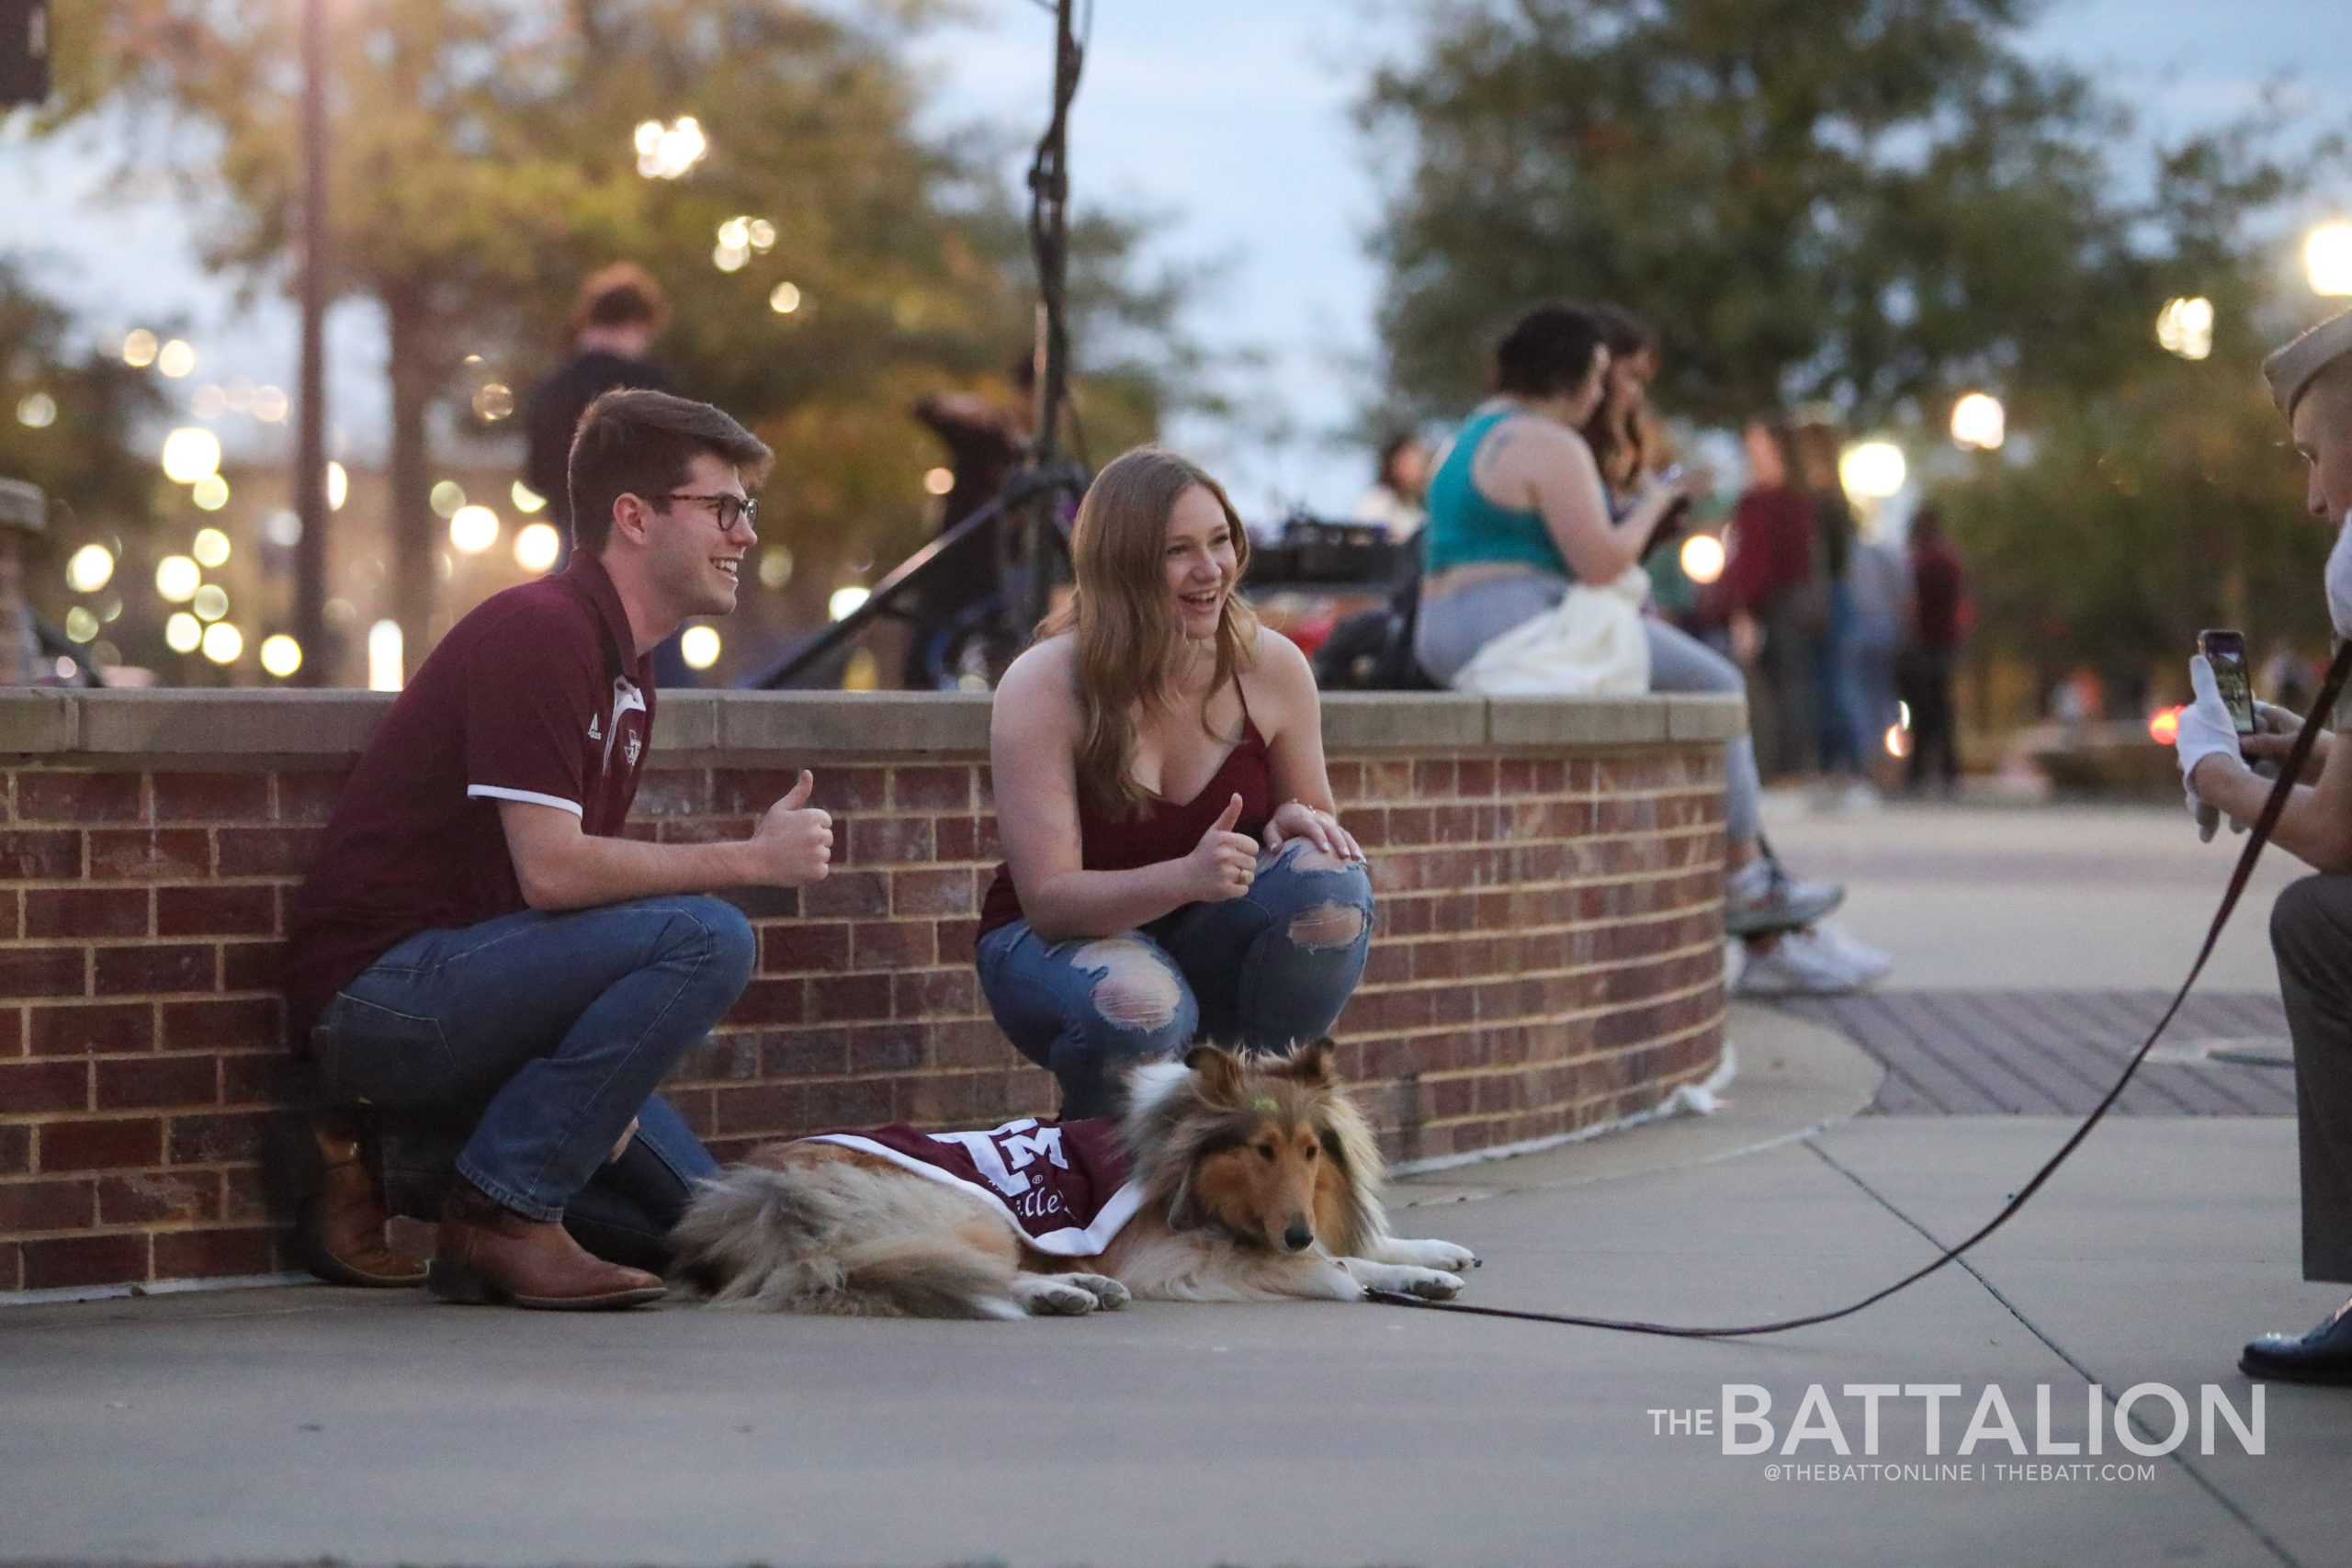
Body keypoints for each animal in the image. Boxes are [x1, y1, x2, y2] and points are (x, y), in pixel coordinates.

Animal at [673, 1048, 1467, 1316]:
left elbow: (1369, 1247)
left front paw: (1432, 1260)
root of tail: (766, 1192)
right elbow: (1331, 1264)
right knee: (972, 1272)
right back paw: (1061, 1293)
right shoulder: (1172, 1258)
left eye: (1310, 1150)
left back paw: (1081, 1285)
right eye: (1260, 1150)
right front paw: (1352, 1274)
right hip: (968, 1214)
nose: (1298, 1229)